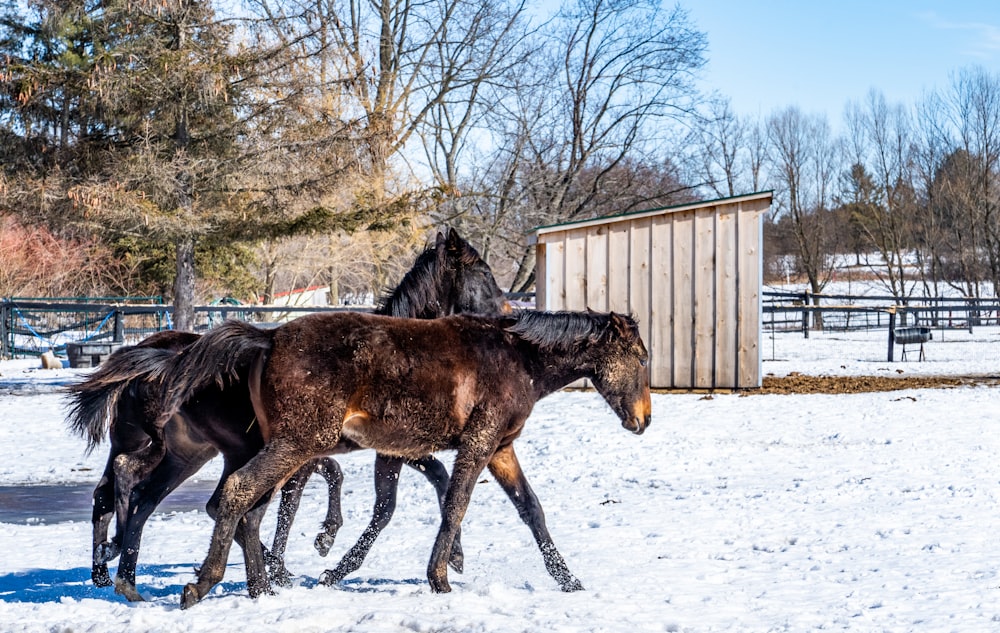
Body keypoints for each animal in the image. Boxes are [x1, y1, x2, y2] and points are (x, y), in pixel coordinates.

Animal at [64, 226, 508, 596]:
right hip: (206, 449)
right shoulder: (345, 449)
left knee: (130, 493)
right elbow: (332, 497)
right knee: (160, 491)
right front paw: (322, 547)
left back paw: (117, 573)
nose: (506, 319)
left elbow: (420, 480)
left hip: (185, 452)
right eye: (484, 274)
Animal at [154, 308, 656, 604]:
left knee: (251, 509)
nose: (644, 419)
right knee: (239, 494)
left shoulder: (501, 449)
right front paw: (440, 577)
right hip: (298, 443)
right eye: (641, 357)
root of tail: (269, 336)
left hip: (285, 447)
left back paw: (262, 588)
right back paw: (204, 584)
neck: (519, 360)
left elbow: (531, 510)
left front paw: (568, 579)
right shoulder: (477, 444)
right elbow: (455, 504)